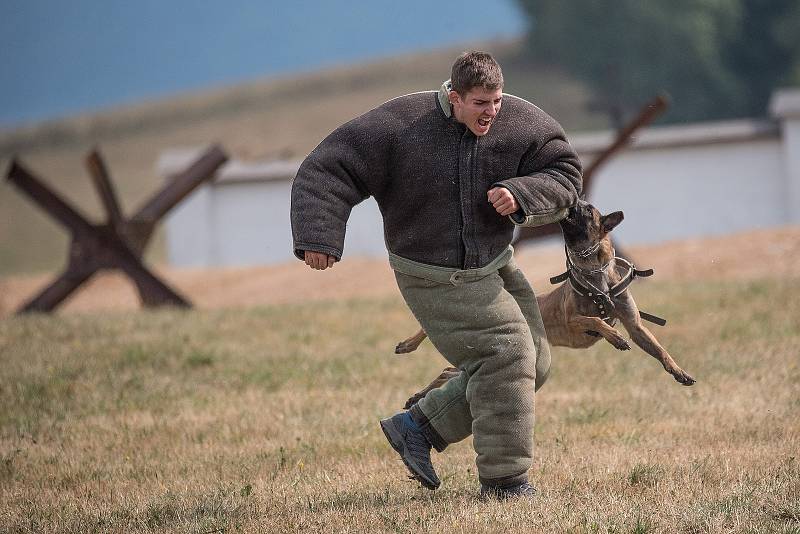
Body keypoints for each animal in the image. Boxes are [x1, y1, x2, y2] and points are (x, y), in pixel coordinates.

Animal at [396, 202, 696, 410]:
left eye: (588, 209)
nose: (571, 202)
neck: (595, 274)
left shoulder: (636, 327)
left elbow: (660, 350)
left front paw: (680, 372)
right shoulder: (573, 319)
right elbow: (596, 320)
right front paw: (614, 337)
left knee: (448, 371)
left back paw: (417, 394)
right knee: (442, 359)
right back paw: (409, 354)